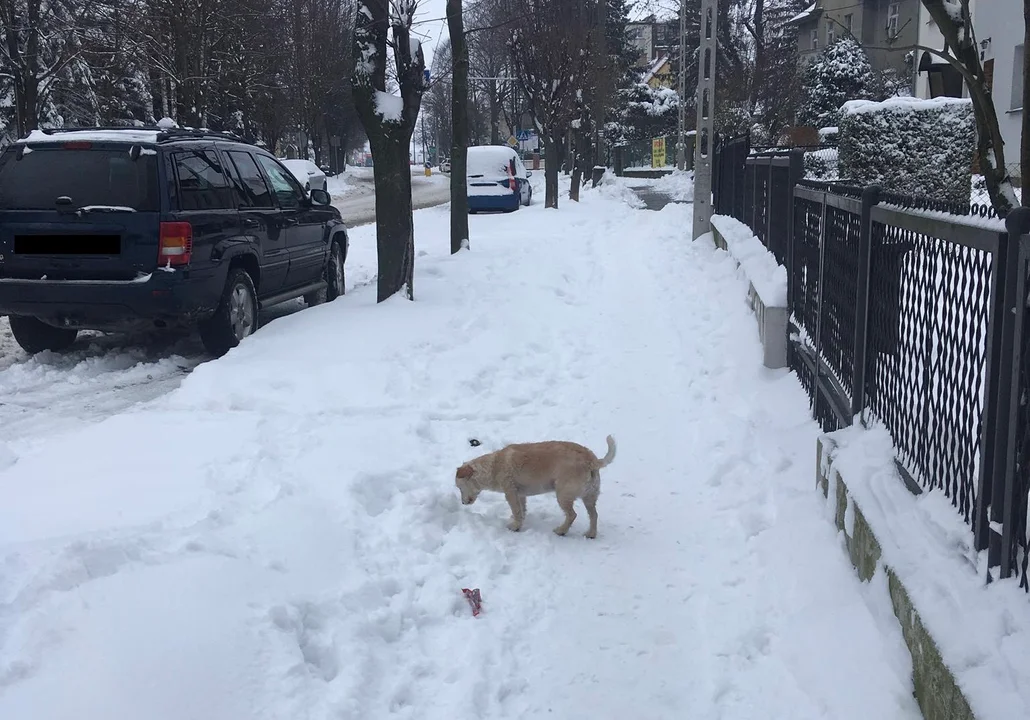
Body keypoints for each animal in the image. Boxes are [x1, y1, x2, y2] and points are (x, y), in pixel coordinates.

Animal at [455, 436, 613, 539]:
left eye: (459, 488)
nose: (462, 503)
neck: (494, 465)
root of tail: (591, 460)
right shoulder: (520, 495)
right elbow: (521, 510)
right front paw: (519, 521)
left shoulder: (510, 492)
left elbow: (516, 510)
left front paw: (515, 527)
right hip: (590, 497)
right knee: (594, 515)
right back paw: (591, 534)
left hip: (563, 495)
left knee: (572, 515)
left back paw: (561, 531)